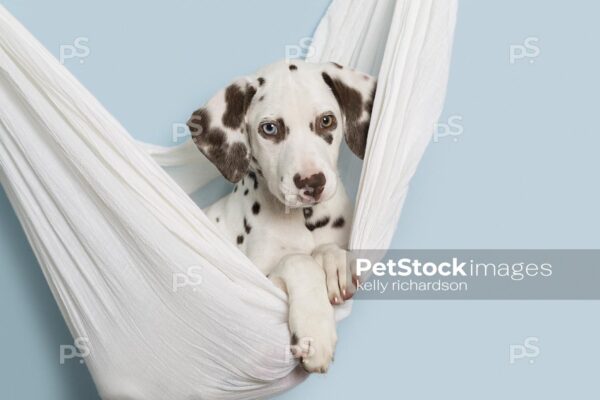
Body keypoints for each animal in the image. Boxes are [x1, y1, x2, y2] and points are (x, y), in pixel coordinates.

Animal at [188, 59, 376, 372]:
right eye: (270, 128)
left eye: (326, 121)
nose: (312, 183)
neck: (305, 219)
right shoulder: (259, 282)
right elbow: (298, 262)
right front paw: (315, 333)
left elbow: (329, 251)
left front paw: (332, 262)